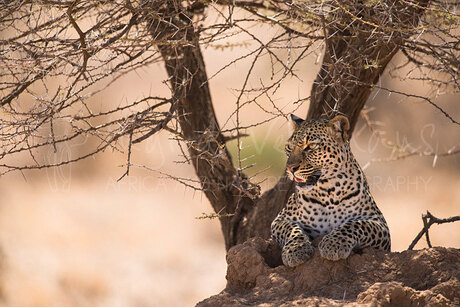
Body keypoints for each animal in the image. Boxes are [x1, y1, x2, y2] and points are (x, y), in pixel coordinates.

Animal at [272, 115, 390, 268]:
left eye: (310, 147)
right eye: (289, 147)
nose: (290, 168)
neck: (327, 191)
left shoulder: (380, 223)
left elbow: (355, 224)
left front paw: (334, 244)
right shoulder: (281, 218)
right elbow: (291, 229)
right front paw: (295, 249)